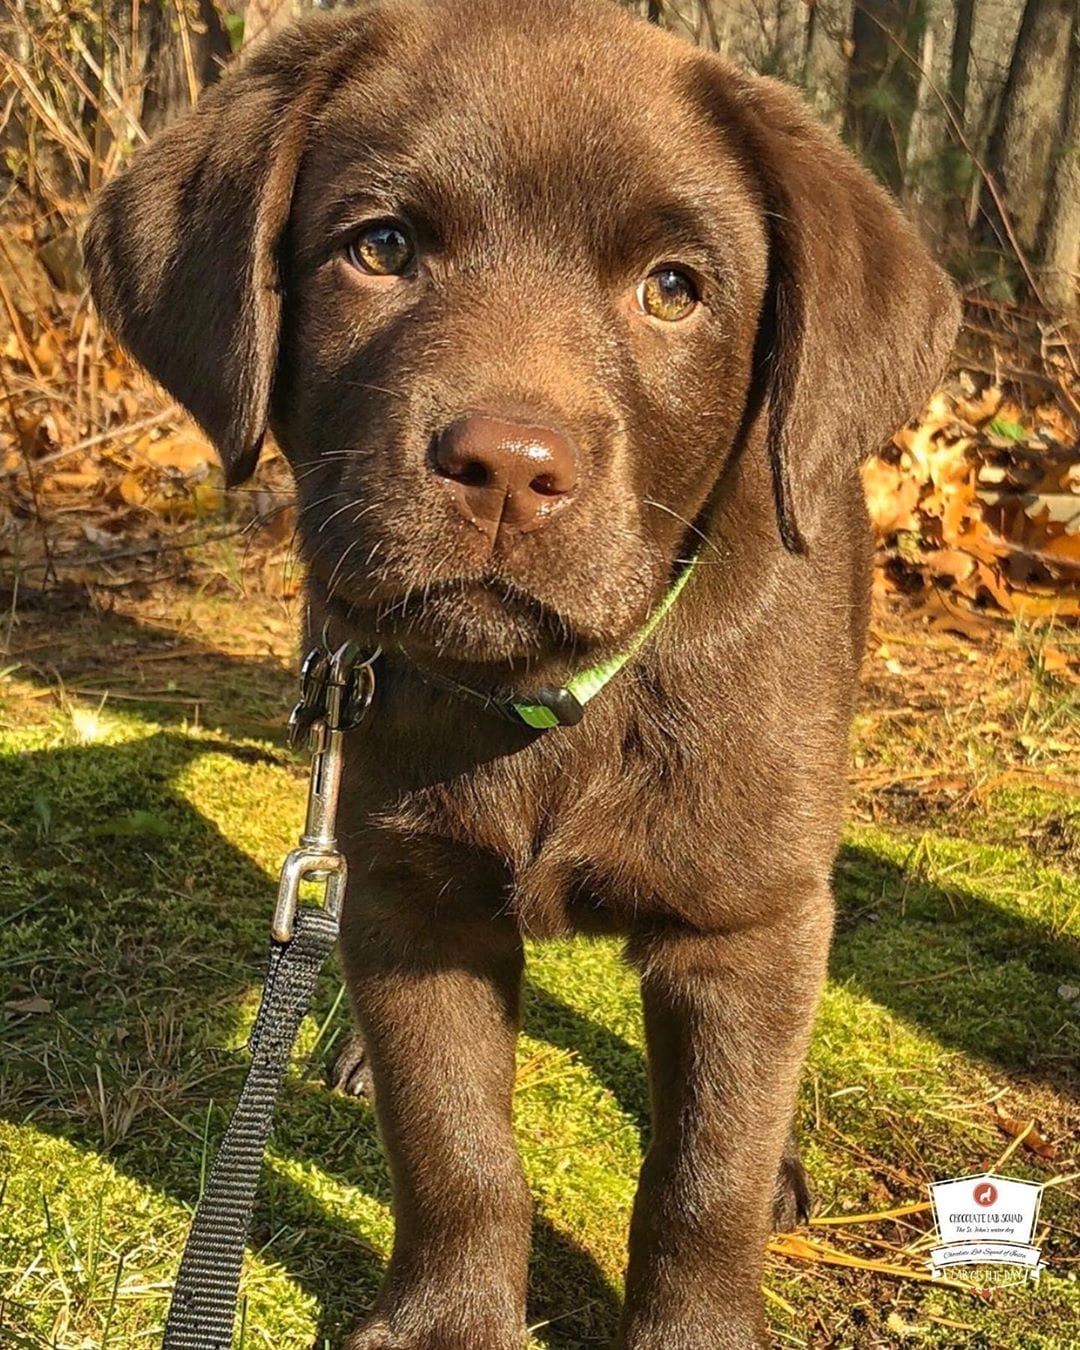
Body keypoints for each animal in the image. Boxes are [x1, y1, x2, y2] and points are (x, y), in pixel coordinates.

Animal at [85, 1, 959, 1344]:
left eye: (674, 289)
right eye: (381, 248)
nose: (507, 466)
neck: (552, 692)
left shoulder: (745, 921)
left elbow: (704, 1175)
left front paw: (701, 1313)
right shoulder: (404, 896)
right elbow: (453, 1146)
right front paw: (450, 1319)